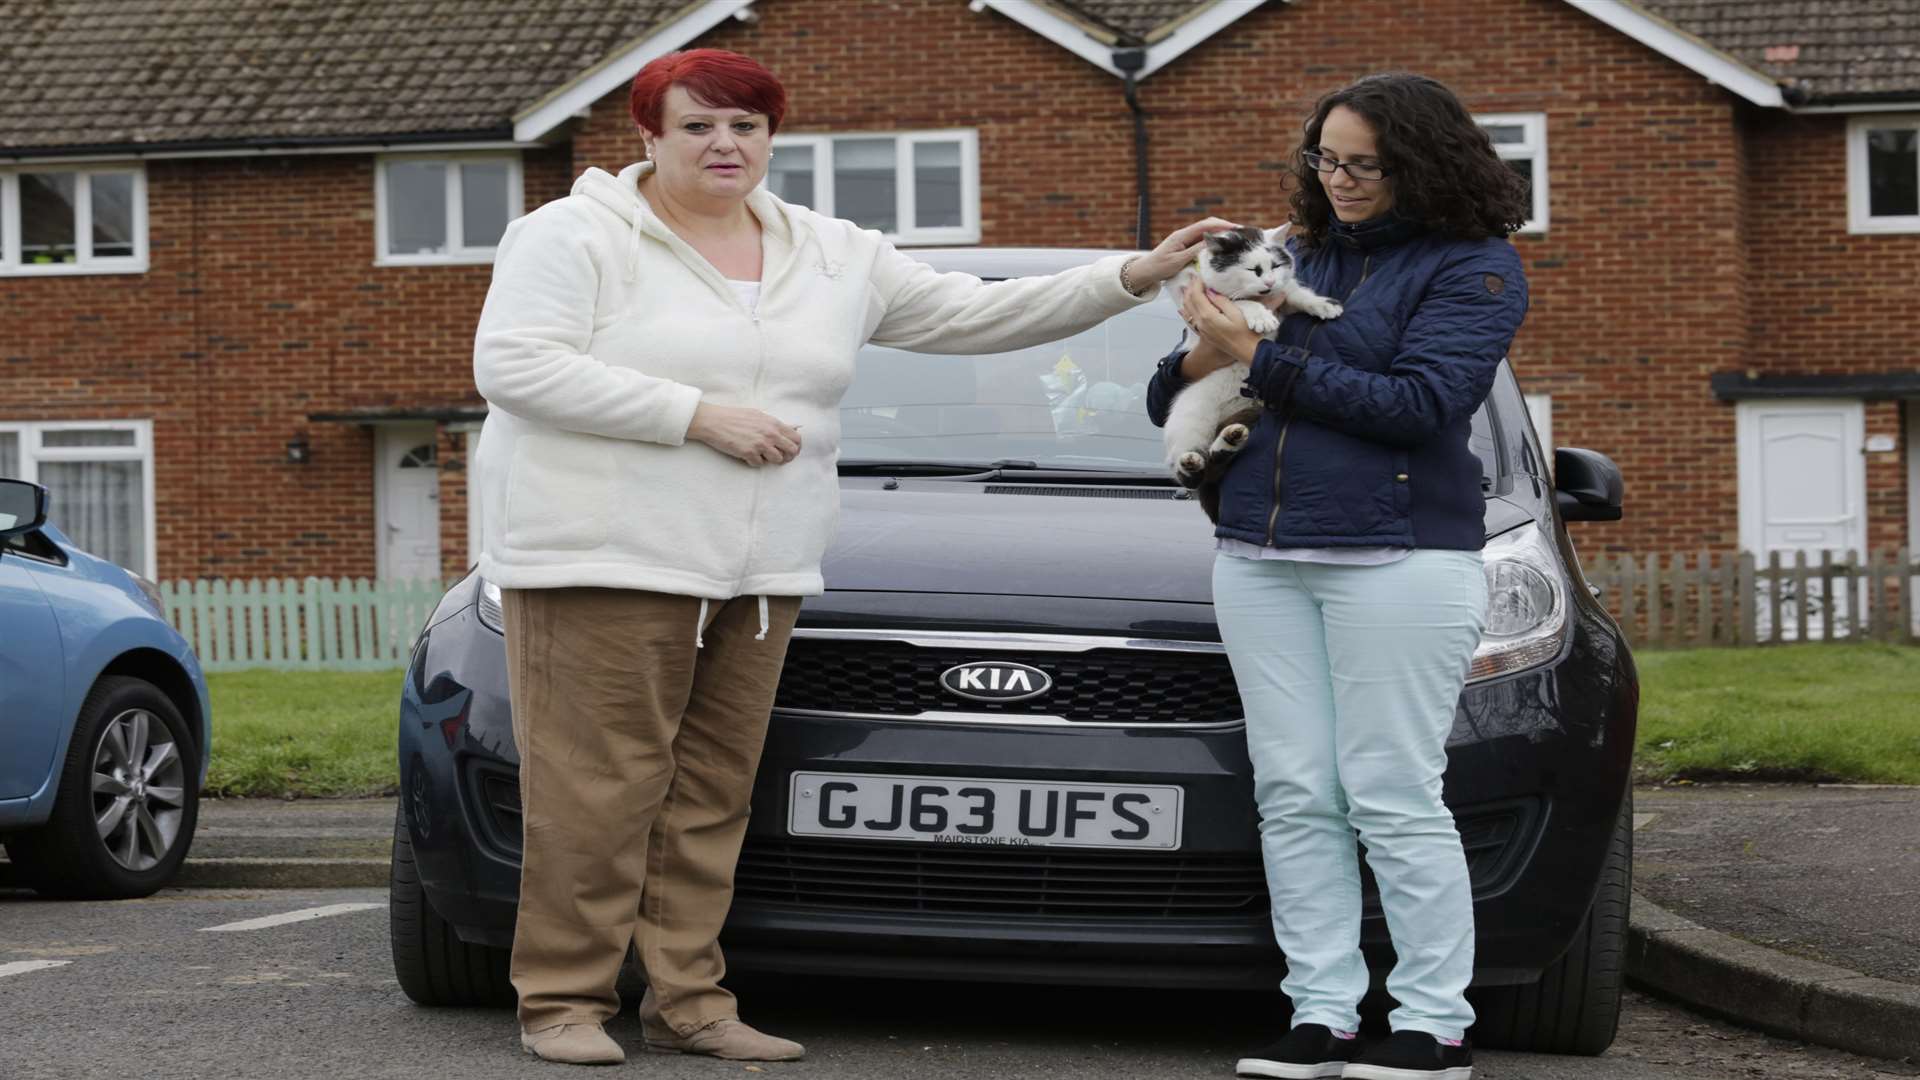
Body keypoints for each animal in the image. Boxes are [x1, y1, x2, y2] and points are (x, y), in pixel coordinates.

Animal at [1159, 222, 1344, 518]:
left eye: (1276, 265)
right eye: (1253, 270)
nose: (1268, 283)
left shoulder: (1283, 296)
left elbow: (1294, 292)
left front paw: (1322, 305)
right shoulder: (1204, 296)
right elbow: (1239, 302)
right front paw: (1260, 316)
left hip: (1253, 416)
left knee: (1217, 458)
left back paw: (1230, 439)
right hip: (1188, 417)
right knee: (1192, 476)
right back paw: (1192, 462)